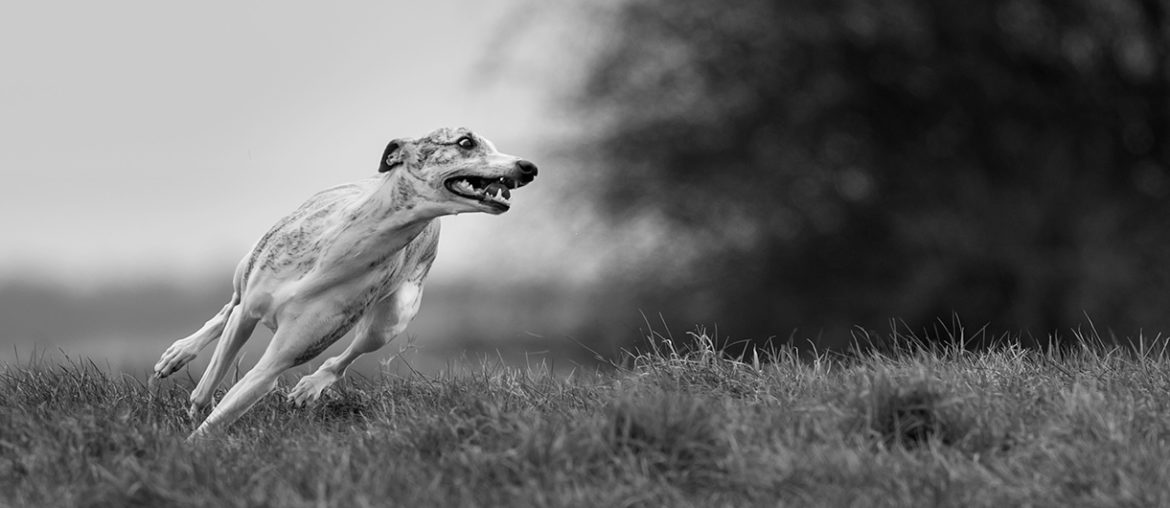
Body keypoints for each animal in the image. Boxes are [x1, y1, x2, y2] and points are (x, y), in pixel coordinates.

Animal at [150, 128, 538, 440]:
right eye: (465, 142)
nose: (528, 167)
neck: (342, 247)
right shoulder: (249, 313)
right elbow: (209, 382)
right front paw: (193, 411)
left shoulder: (278, 361)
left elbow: (226, 409)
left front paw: (192, 446)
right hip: (247, 266)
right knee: (228, 306)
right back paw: (180, 351)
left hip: (392, 319)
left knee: (349, 354)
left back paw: (310, 386)